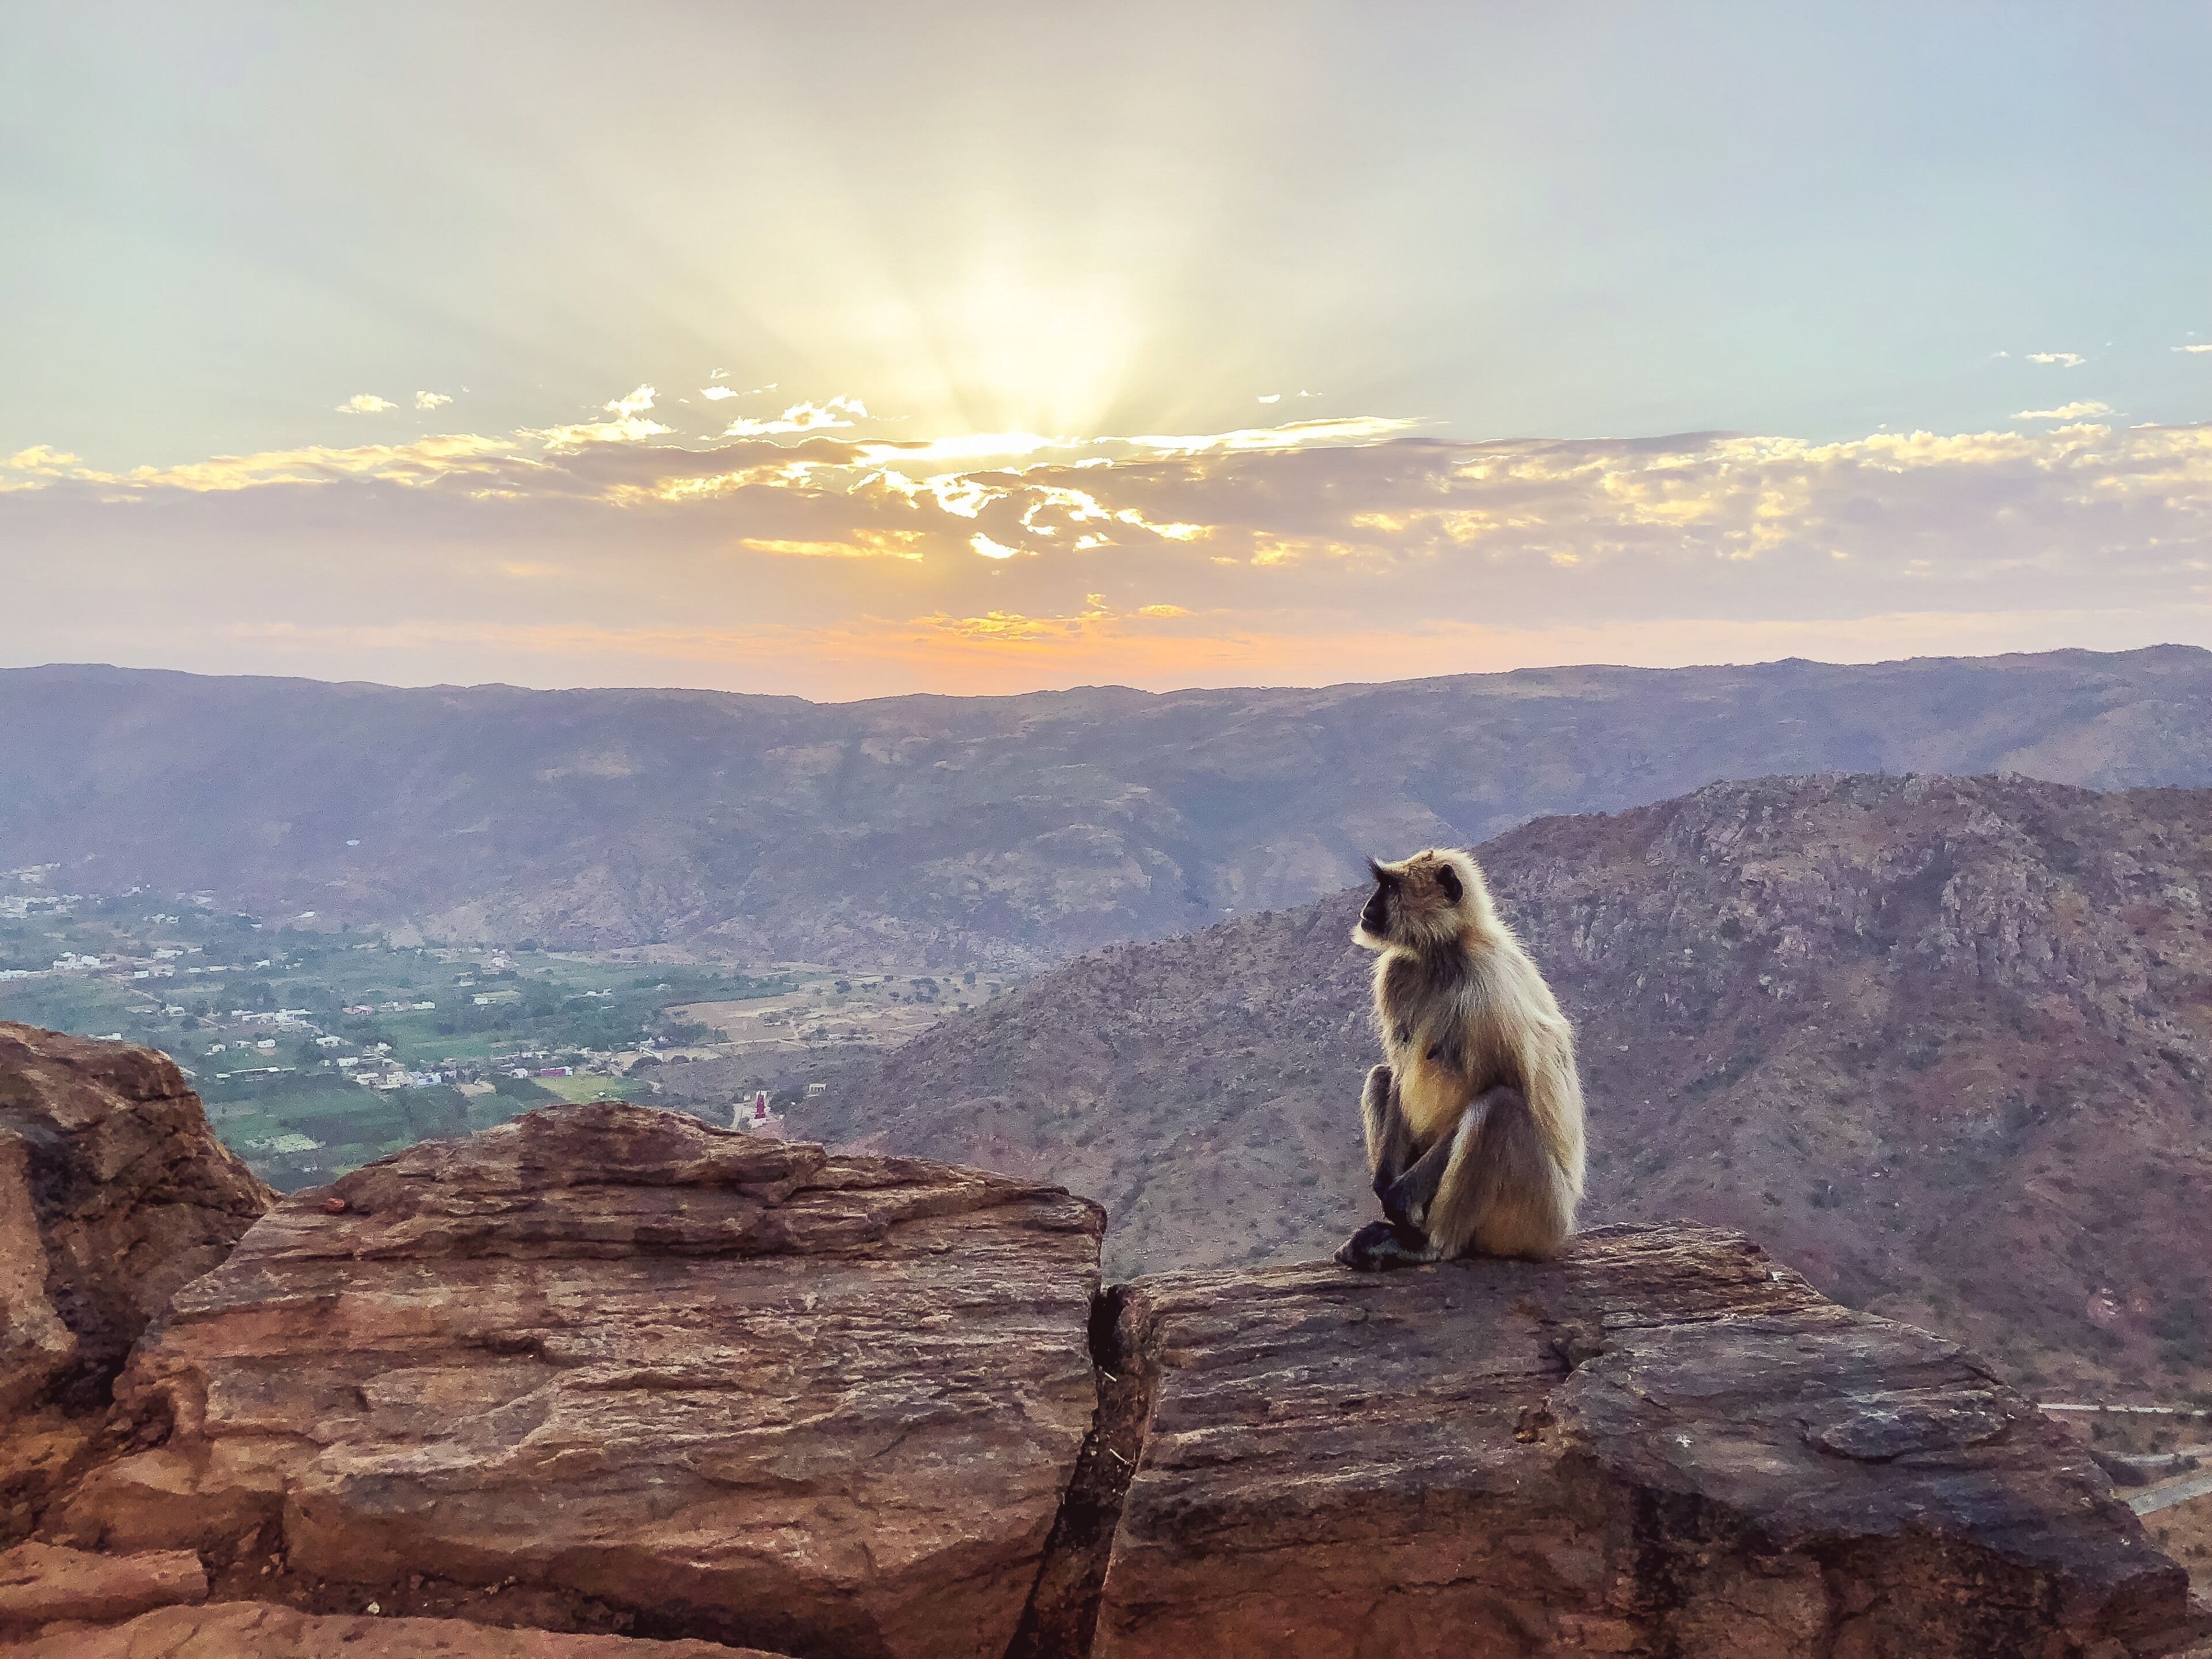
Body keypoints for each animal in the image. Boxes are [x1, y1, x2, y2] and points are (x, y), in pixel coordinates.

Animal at [1335, 846, 1585, 1271]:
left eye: (1389, 887)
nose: (1368, 907)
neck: (1444, 953)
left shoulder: (1488, 986)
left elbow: (1508, 1084)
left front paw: (1398, 1200)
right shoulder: (1396, 972)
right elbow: (1399, 1073)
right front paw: (1384, 1187)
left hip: (1537, 1217)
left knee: (1501, 1108)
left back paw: (1429, 1246)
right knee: (1381, 1076)